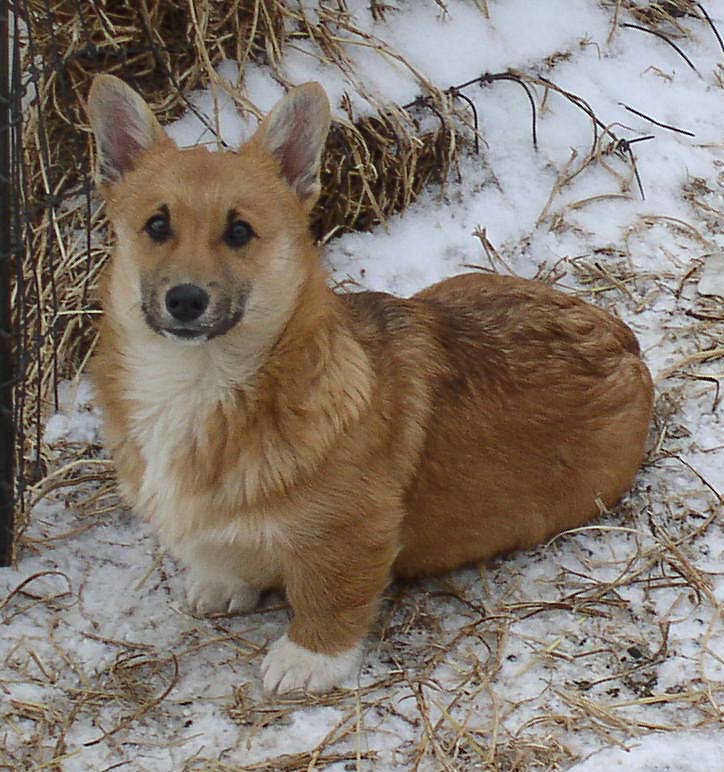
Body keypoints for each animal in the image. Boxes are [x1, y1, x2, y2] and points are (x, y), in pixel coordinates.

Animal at [87, 77, 652, 692]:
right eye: (157, 225)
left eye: (239, 232)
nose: (185, 300)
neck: (201, 379)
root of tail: (623, 337)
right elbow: (226, 551)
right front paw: (222, 580)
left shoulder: (353, 532)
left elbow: (331, 596)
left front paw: (307, 659)